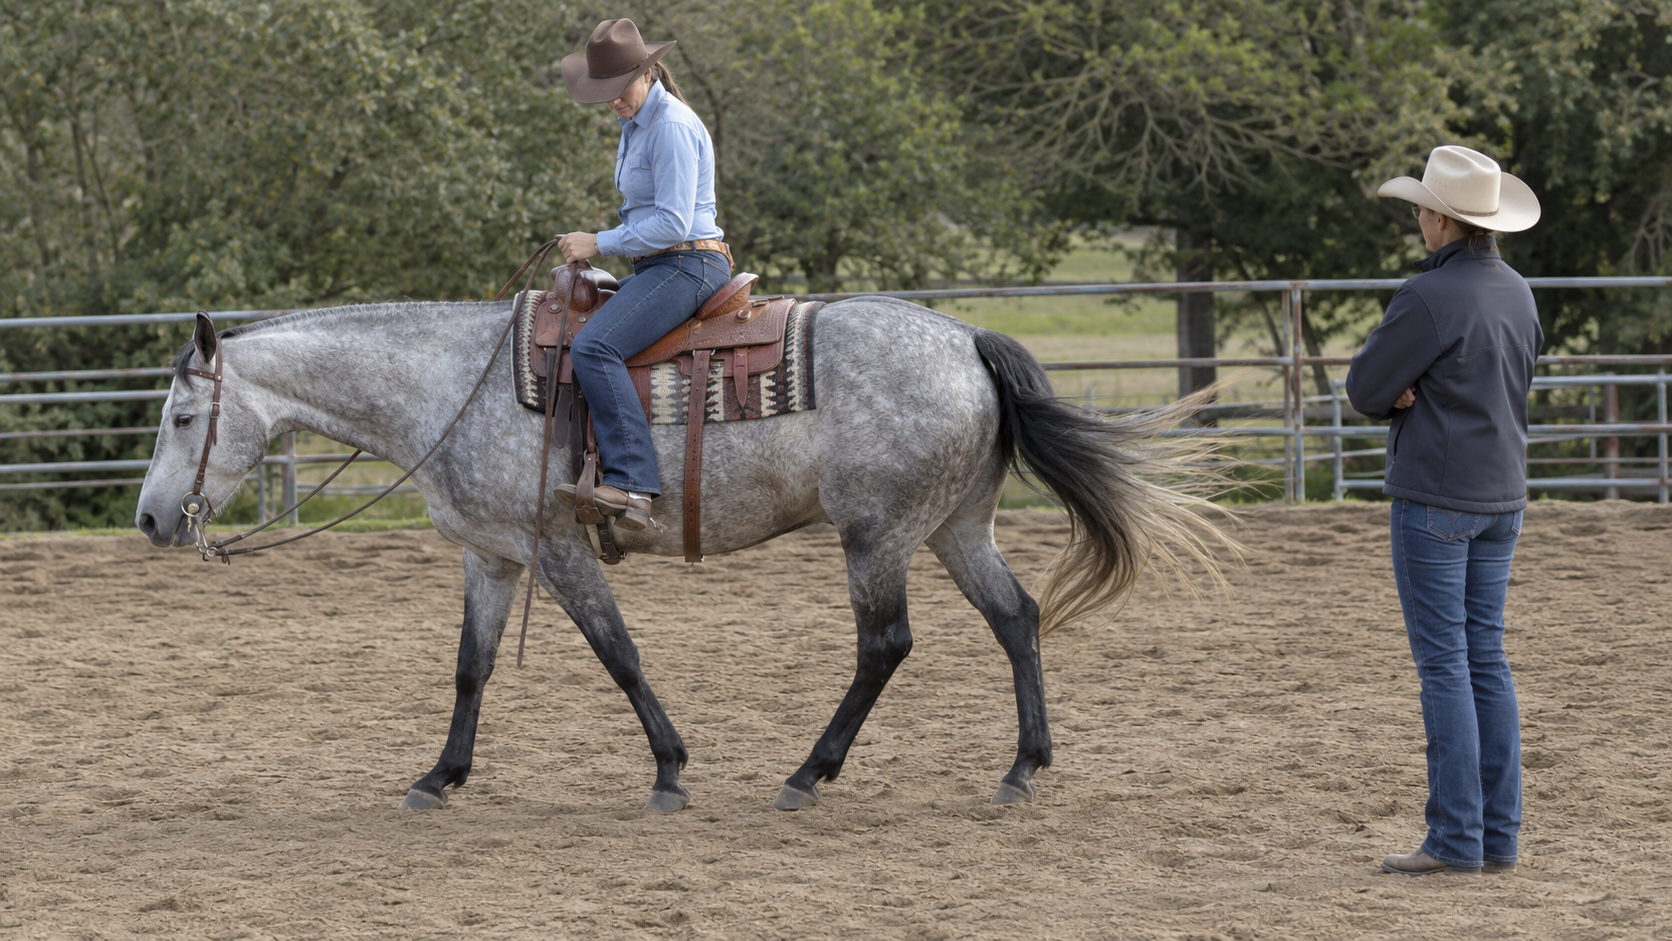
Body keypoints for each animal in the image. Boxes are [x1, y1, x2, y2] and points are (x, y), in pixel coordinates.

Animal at [134, 296, 1229, 813]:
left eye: (184, 416)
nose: (149, 521)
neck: (452, 382)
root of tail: (966, 341)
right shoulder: (492, 556)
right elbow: (470, 668)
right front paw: (439, 776)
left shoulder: (556, 549)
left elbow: (618, 652)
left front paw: (668, 769)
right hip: (955, 525)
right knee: (1015, 617)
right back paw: (1022, 766)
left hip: (877, 535)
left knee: (885, 645)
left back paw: (807, 772)